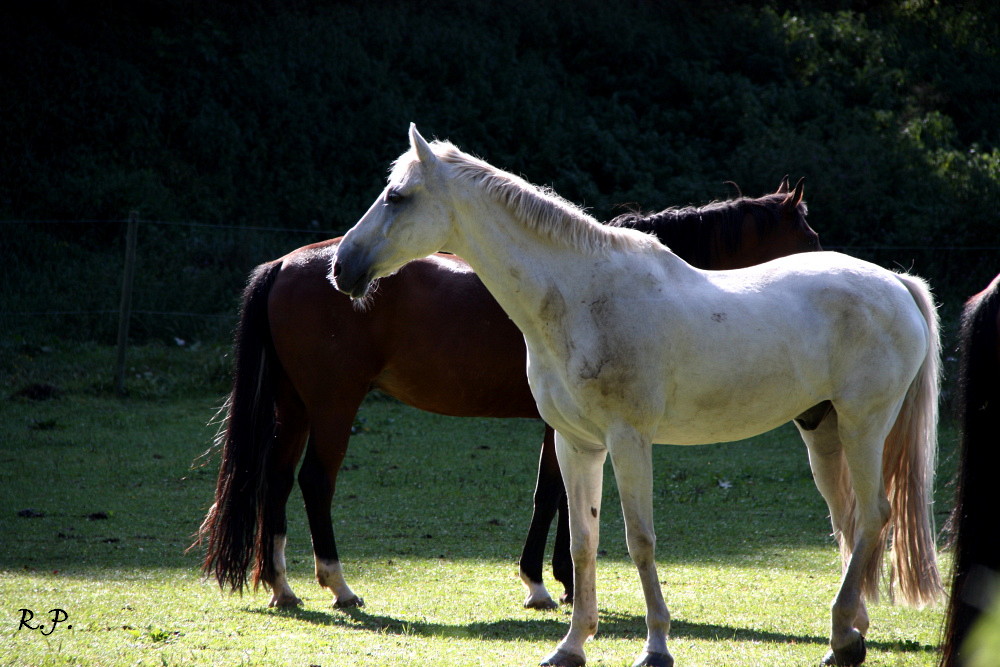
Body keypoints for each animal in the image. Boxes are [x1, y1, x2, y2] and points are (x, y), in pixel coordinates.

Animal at [195, 177, 820, 612]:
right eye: (809, 238)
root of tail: (287, 263)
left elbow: (557, 494)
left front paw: (558, 580)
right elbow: (552, 496)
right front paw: (547, 584)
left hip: (295, 406)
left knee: (276, 480)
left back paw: (282, 585)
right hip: (332, 406)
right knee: (314, 481)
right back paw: (339, 585)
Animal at [332, 126, 940, 667]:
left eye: (397, 197)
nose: (342, 268)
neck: (580, 298)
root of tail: (896, 283)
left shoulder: (629, 441)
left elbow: (638, 539)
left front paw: (656, 647)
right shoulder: (577, 444)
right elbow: (582, 541)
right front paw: (570, 647)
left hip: (864, 425)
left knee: (874, 515)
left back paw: (842, 637)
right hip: (823, 431)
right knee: (849, 520)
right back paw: (851, 634)